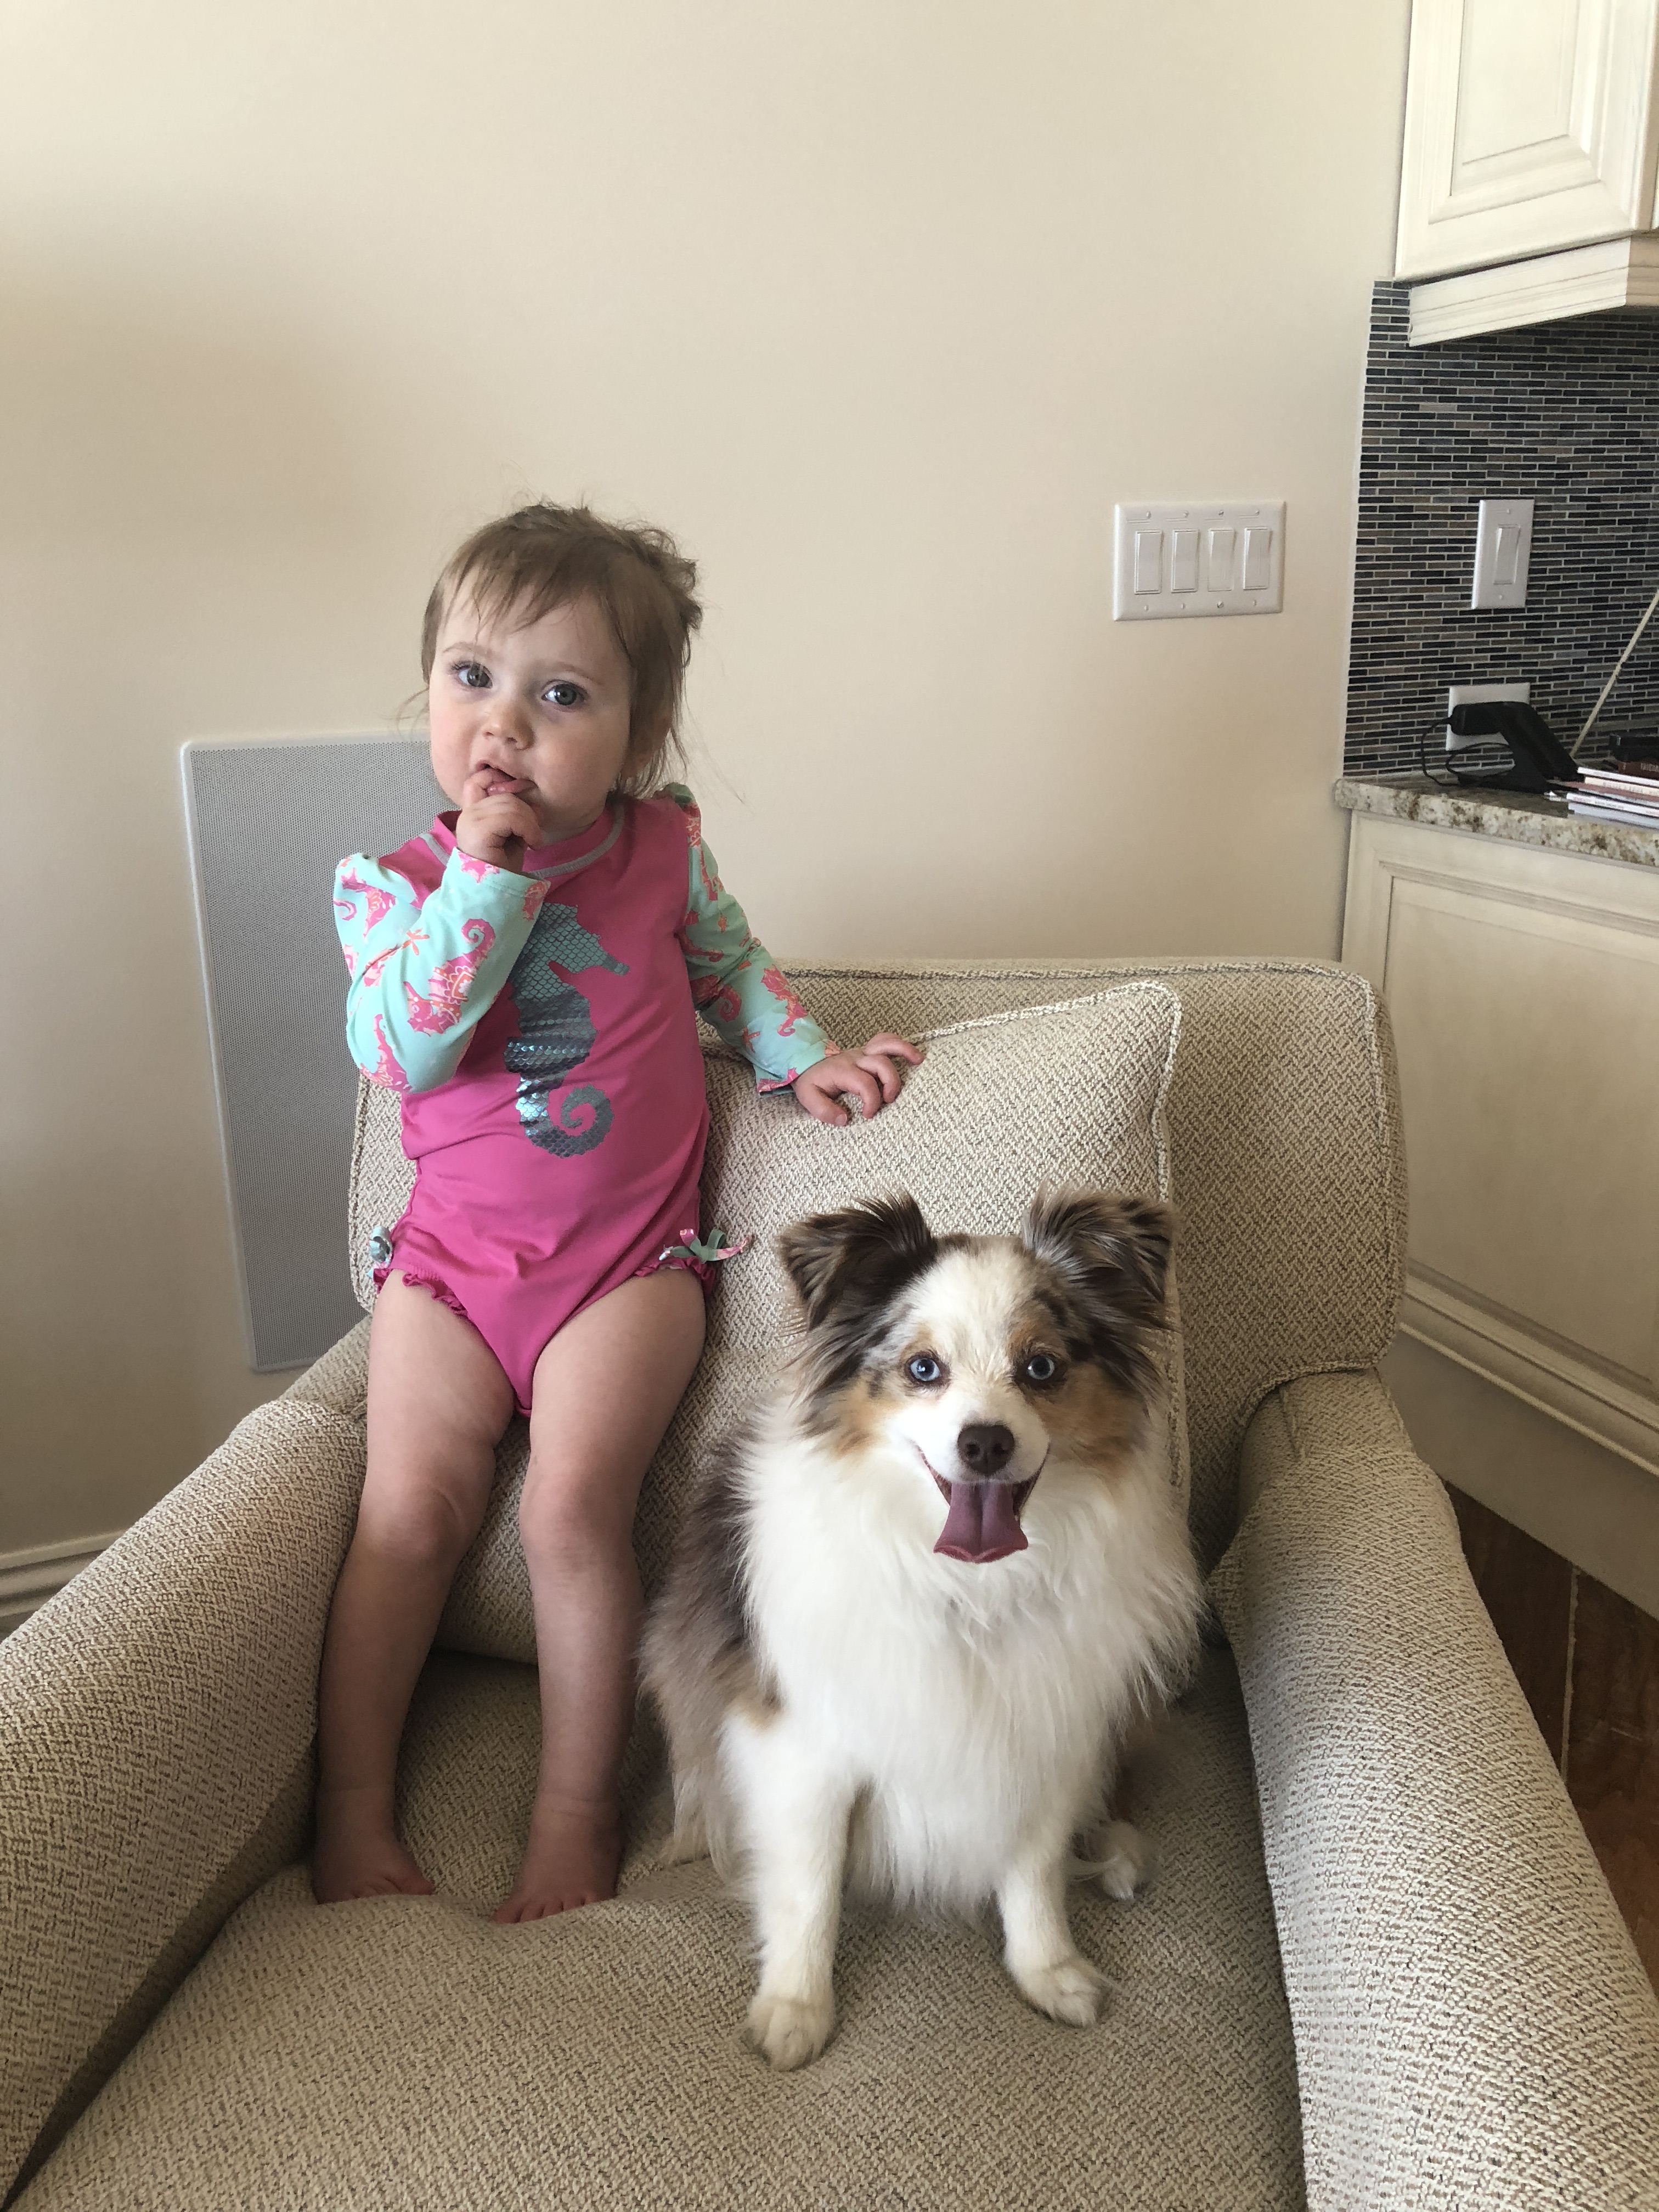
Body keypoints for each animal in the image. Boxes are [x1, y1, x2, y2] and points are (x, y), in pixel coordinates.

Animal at [641, 1188, 1203, 2071]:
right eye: (922, 1369)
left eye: (1041, 1368)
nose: (985, 1443)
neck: (968, 1587)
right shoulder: (804, 1749)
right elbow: (808, 1887)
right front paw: (796, 2008)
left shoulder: (1045, 1736)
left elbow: (1035, 1871)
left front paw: (1050, 1971)